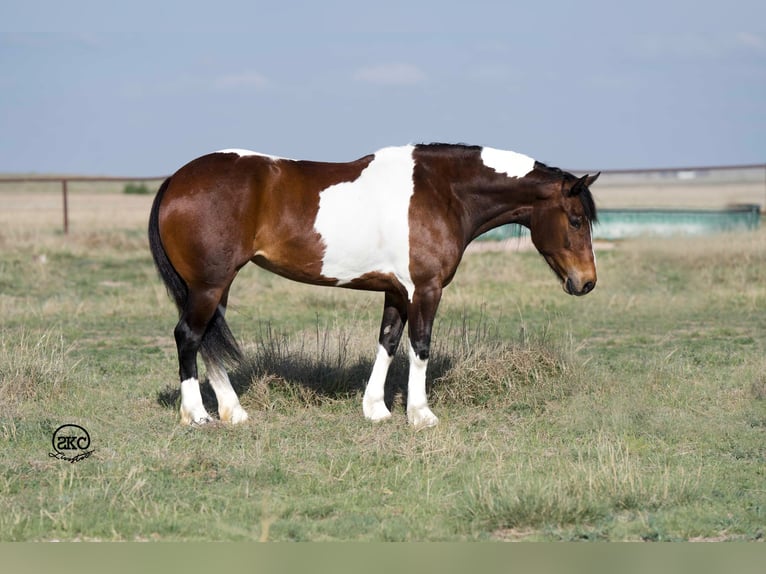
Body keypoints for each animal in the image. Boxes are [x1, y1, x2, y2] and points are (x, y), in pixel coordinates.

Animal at [148, 146, 600, 430]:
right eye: (577, 219)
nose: (587, 282)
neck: (442, 192)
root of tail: (175, 180)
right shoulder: (425, 289)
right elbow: (420, 345)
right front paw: (420, 415)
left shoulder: (397, 292)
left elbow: (388, 342)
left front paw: (376, 410)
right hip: (208, 286)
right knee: (188, 336)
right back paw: (198, 415)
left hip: (215, 286)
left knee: (208, 340)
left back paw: (234, 412)